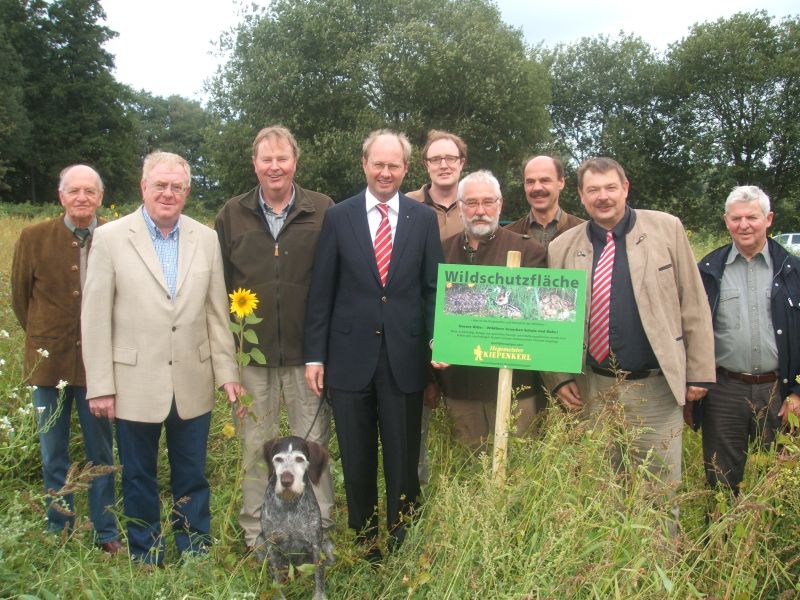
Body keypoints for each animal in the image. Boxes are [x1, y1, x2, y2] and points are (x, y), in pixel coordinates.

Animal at [258, 436, 330, 600]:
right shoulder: (271, 545)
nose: (286, 480)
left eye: (299, 459)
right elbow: (277, 577)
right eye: (278, 459)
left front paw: (319, 595)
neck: (289, 504)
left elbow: (319, 574)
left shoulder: (316, 544)